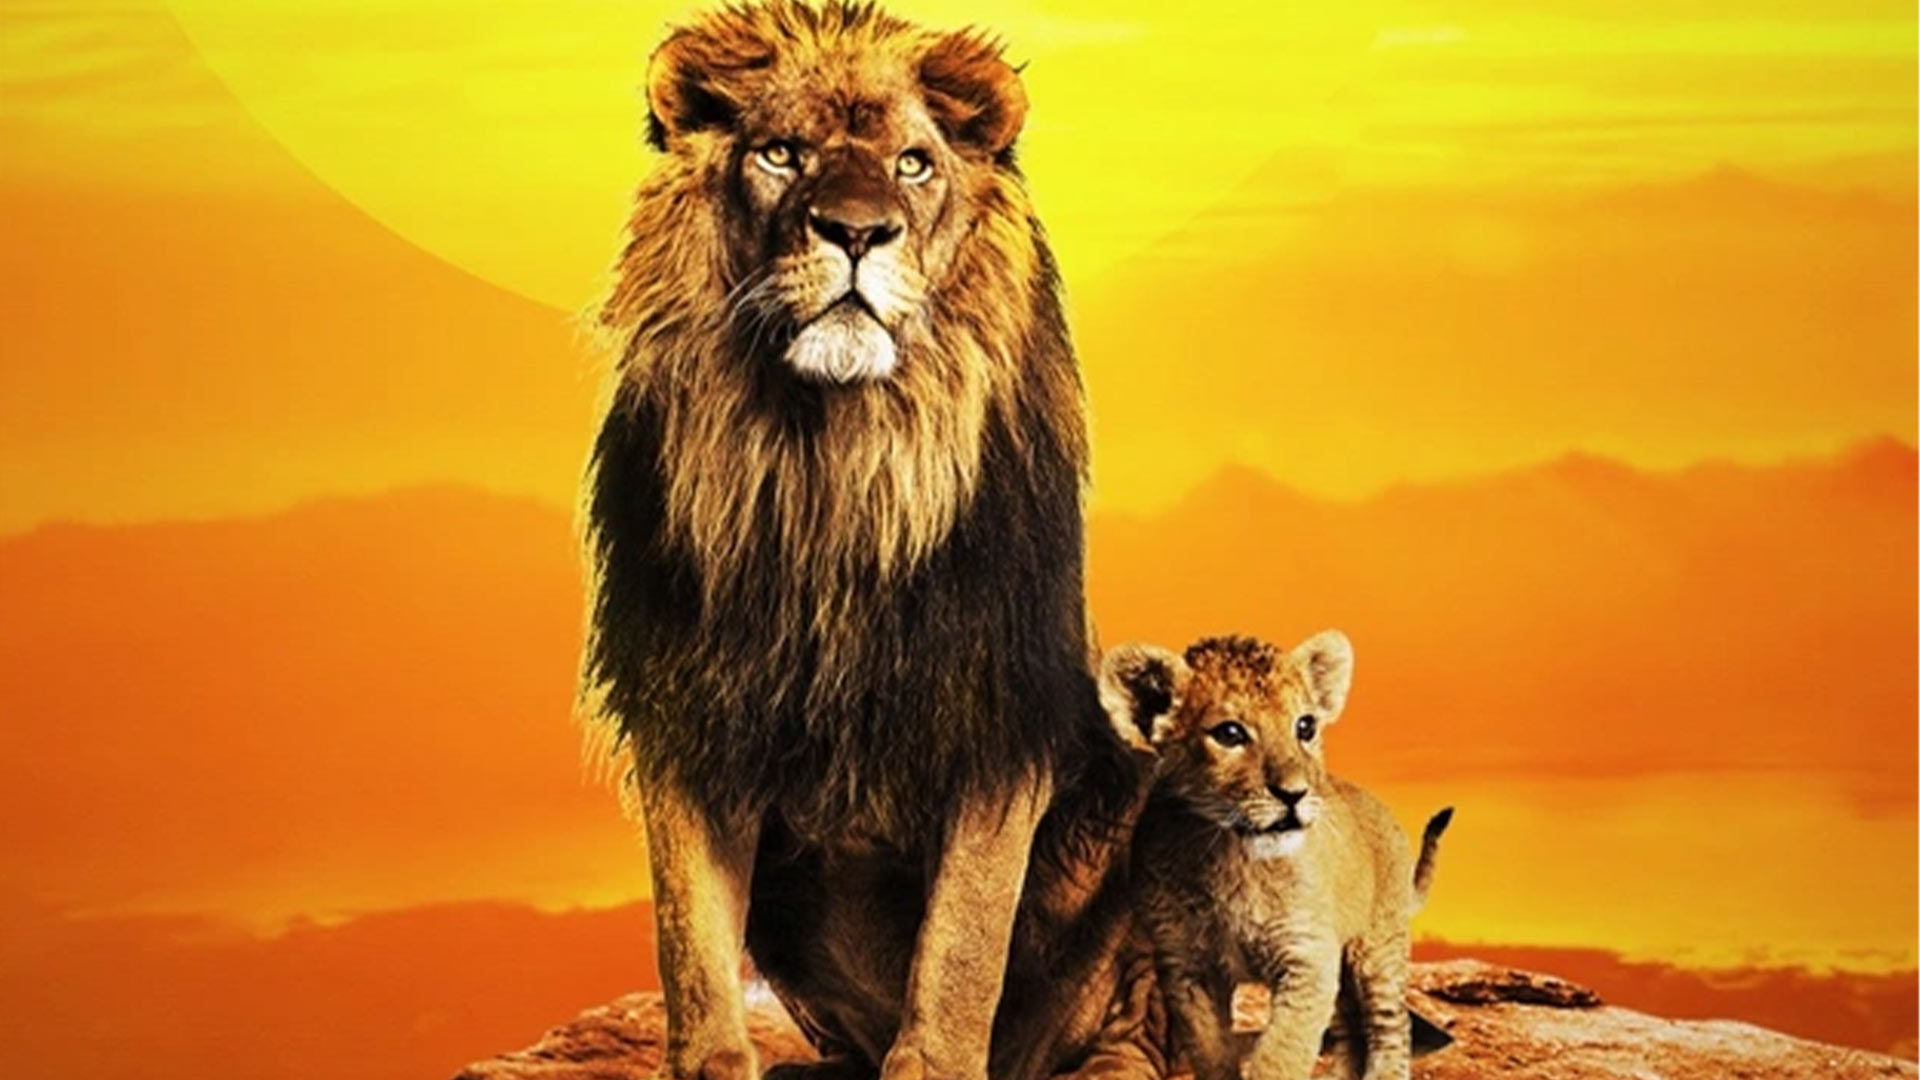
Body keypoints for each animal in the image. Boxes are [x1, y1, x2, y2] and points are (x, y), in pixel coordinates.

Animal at [583, 5, 1156, 1080]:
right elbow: (691, 941)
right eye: (781, 153)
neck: (834, 461)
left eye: (913, 164)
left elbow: (962, 943)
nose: (856, 232)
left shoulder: (996, 711)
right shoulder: (688, 707)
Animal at [1098, 632, 1451, 1080]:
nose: (1294, 793)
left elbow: (1281, 1053)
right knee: (1349, 1029)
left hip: (1378, 945)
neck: (1231, 856)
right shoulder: (1186, 966)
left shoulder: (1306, 956)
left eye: (1305, 726)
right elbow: (1211, 1051)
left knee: (1390, 1024)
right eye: (1230, 733)